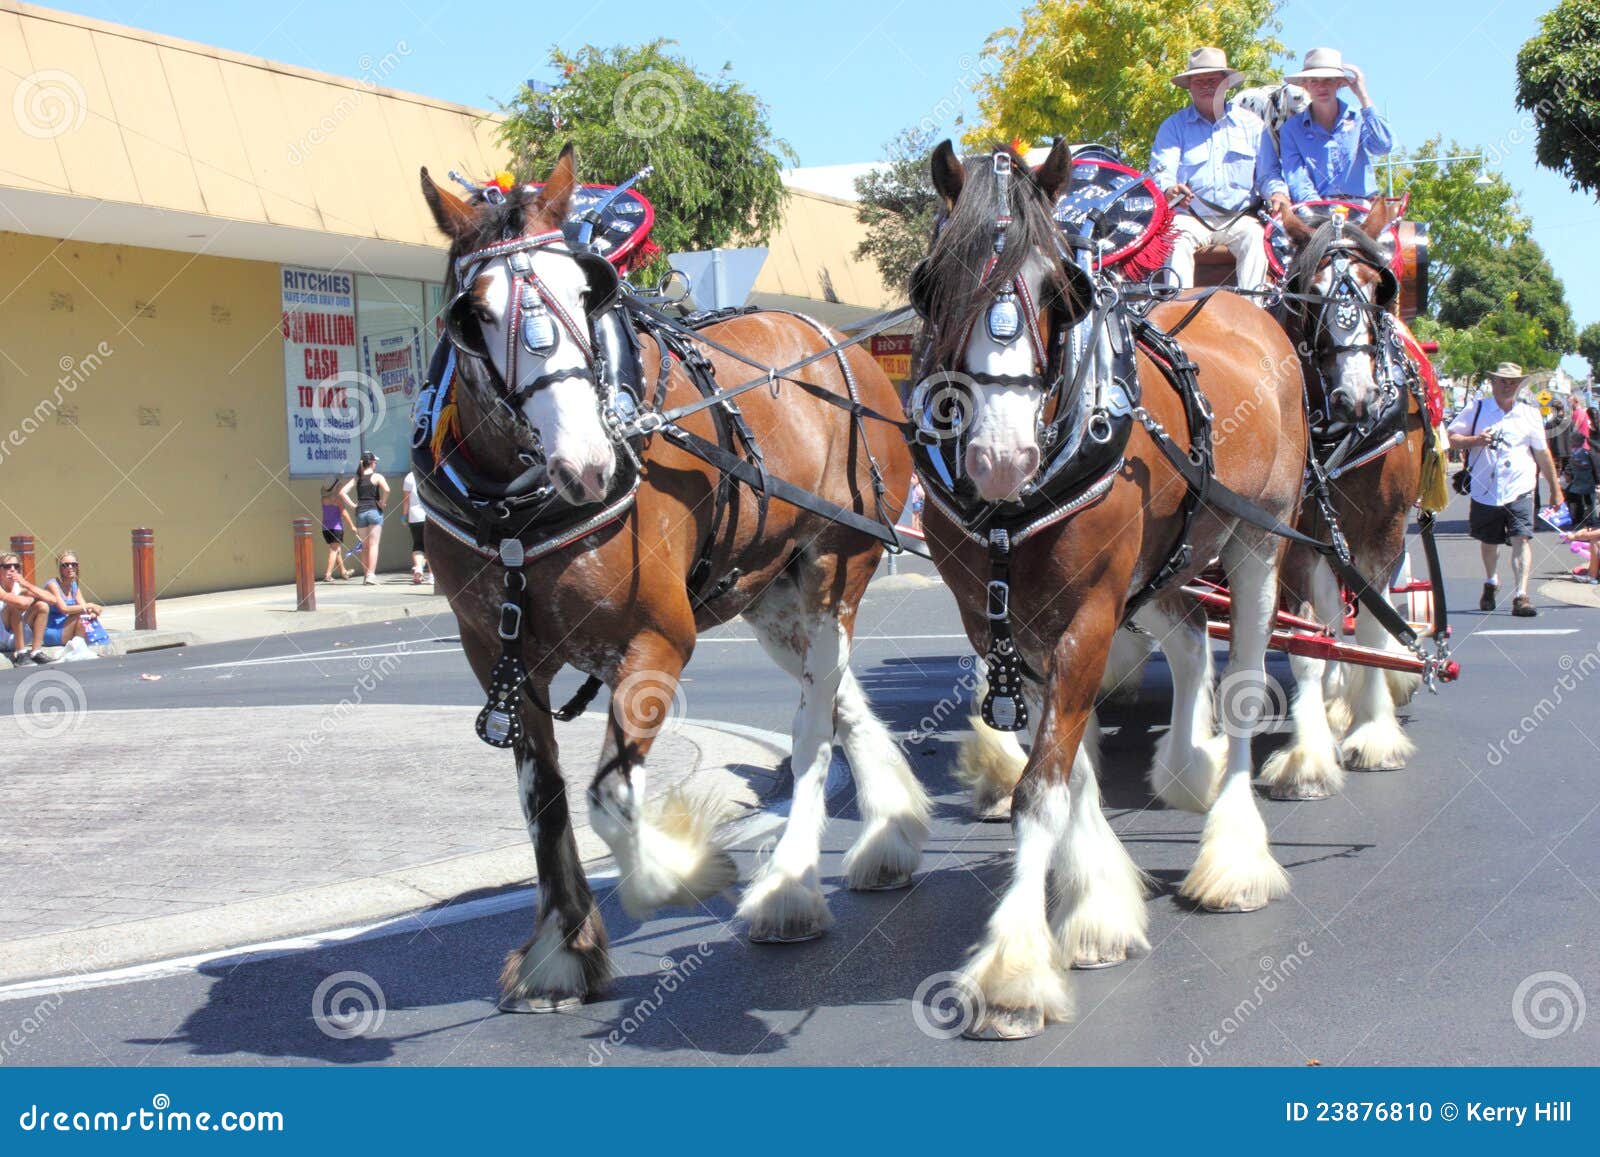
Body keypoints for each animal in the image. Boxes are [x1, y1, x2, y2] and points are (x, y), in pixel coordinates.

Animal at [417, 144, 927, 1011]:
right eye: (470, 313)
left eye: (586, 288)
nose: (588, 465)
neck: (518, 510)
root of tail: (847, 347)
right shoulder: (499, 660)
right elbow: (545, 802)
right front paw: (562, 952)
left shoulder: (656, 641)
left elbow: (609, 797)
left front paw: (679, 873)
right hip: (774, 599)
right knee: (841, 702)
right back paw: (890, 834)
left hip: (837, 572)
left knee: (814, 727)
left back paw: (789, 889)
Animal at [908, 140, 1309, 1039]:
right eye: (936, 283)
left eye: (1062, 287)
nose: (1002, 454)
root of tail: (1241, 306)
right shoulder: (1002, 623)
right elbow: (1067, 761)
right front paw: (1097, 906)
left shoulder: (1088, 610)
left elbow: (1042, 785)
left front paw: (1015, 969)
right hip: (1160, 565)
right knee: (1191, 636)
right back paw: (1189, 768)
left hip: (1260, 540)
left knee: (1243, 683)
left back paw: (1235, 855)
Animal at [1258, 201, 1426, 800]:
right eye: (1309, 294)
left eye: (1379, 287)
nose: (1356, 396)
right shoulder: (1295, 537)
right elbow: (1307, 637)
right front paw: (1307, 756)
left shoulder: (1386, 529)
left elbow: (1374, 626)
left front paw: (1374, 735)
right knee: (1332, 616)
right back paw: (1332, 702)